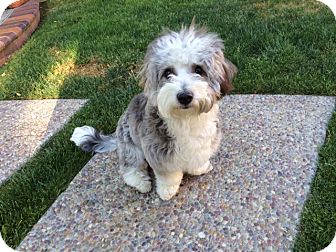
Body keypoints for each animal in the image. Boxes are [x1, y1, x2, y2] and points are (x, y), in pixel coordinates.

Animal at [70, 23, 238, 201]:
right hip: (131, 146)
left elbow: (198, 159)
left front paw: (200, 168)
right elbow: (168, 176)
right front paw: (167, 191)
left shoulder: (205, 142)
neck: (186, 119)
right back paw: (141, 182)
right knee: (130, 168)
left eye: (198, 70)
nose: (184, 96)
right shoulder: (158, 153)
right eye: (168, 73)